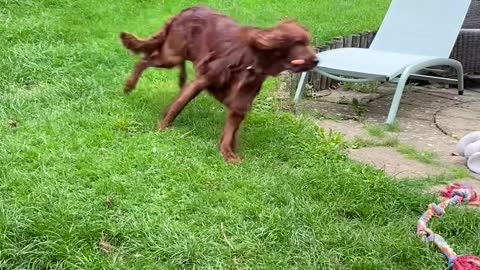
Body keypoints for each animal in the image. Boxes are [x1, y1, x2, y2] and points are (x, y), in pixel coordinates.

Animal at [119, 5, 318, 163]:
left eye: (307, 42)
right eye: (299, 42)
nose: (316, 60)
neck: (252, 58)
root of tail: (185, 10)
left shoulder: (241, 101)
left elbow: (230, 130)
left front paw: (228, 153)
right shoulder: (202, 80)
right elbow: (178, 105)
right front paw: (162, 127)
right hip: (171, 55)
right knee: (144, 61)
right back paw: (129, 85)